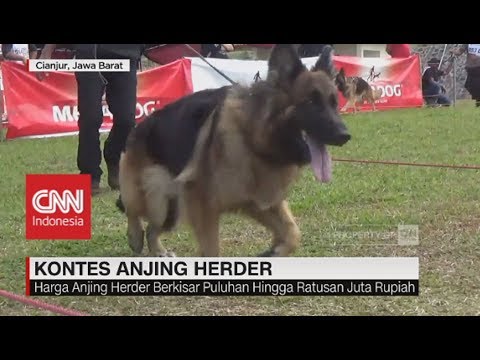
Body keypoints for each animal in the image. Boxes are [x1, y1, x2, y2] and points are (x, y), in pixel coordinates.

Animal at [116, 45, 348, 258]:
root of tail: (140, 127)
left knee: (152, 228)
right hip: (155, 196)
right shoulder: (204, 207)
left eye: (334, 103)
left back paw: (158, 250)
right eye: (310, 102)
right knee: (132, 210)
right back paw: (135, 236)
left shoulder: (259, 201)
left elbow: (293, 233)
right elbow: (212, 251)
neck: (252, 137)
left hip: (171, 208)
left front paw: (275, 250)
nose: (345, 135)